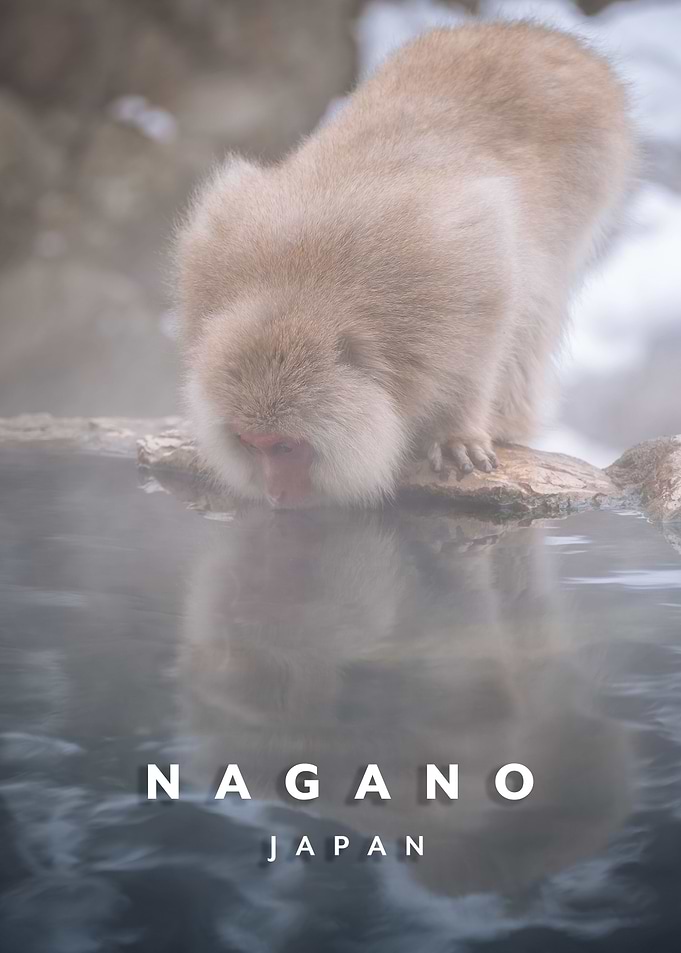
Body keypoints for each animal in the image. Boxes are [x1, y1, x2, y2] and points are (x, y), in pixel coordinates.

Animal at [176, 21, 636, 508]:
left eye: (285, 446)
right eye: (251, 444)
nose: (276, 494)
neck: (299, 290)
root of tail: (526, 32)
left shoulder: (456, 269)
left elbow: (487, 326)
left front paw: (456, 431)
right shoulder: (206, 261)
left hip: (594, 168)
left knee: (539, 296)